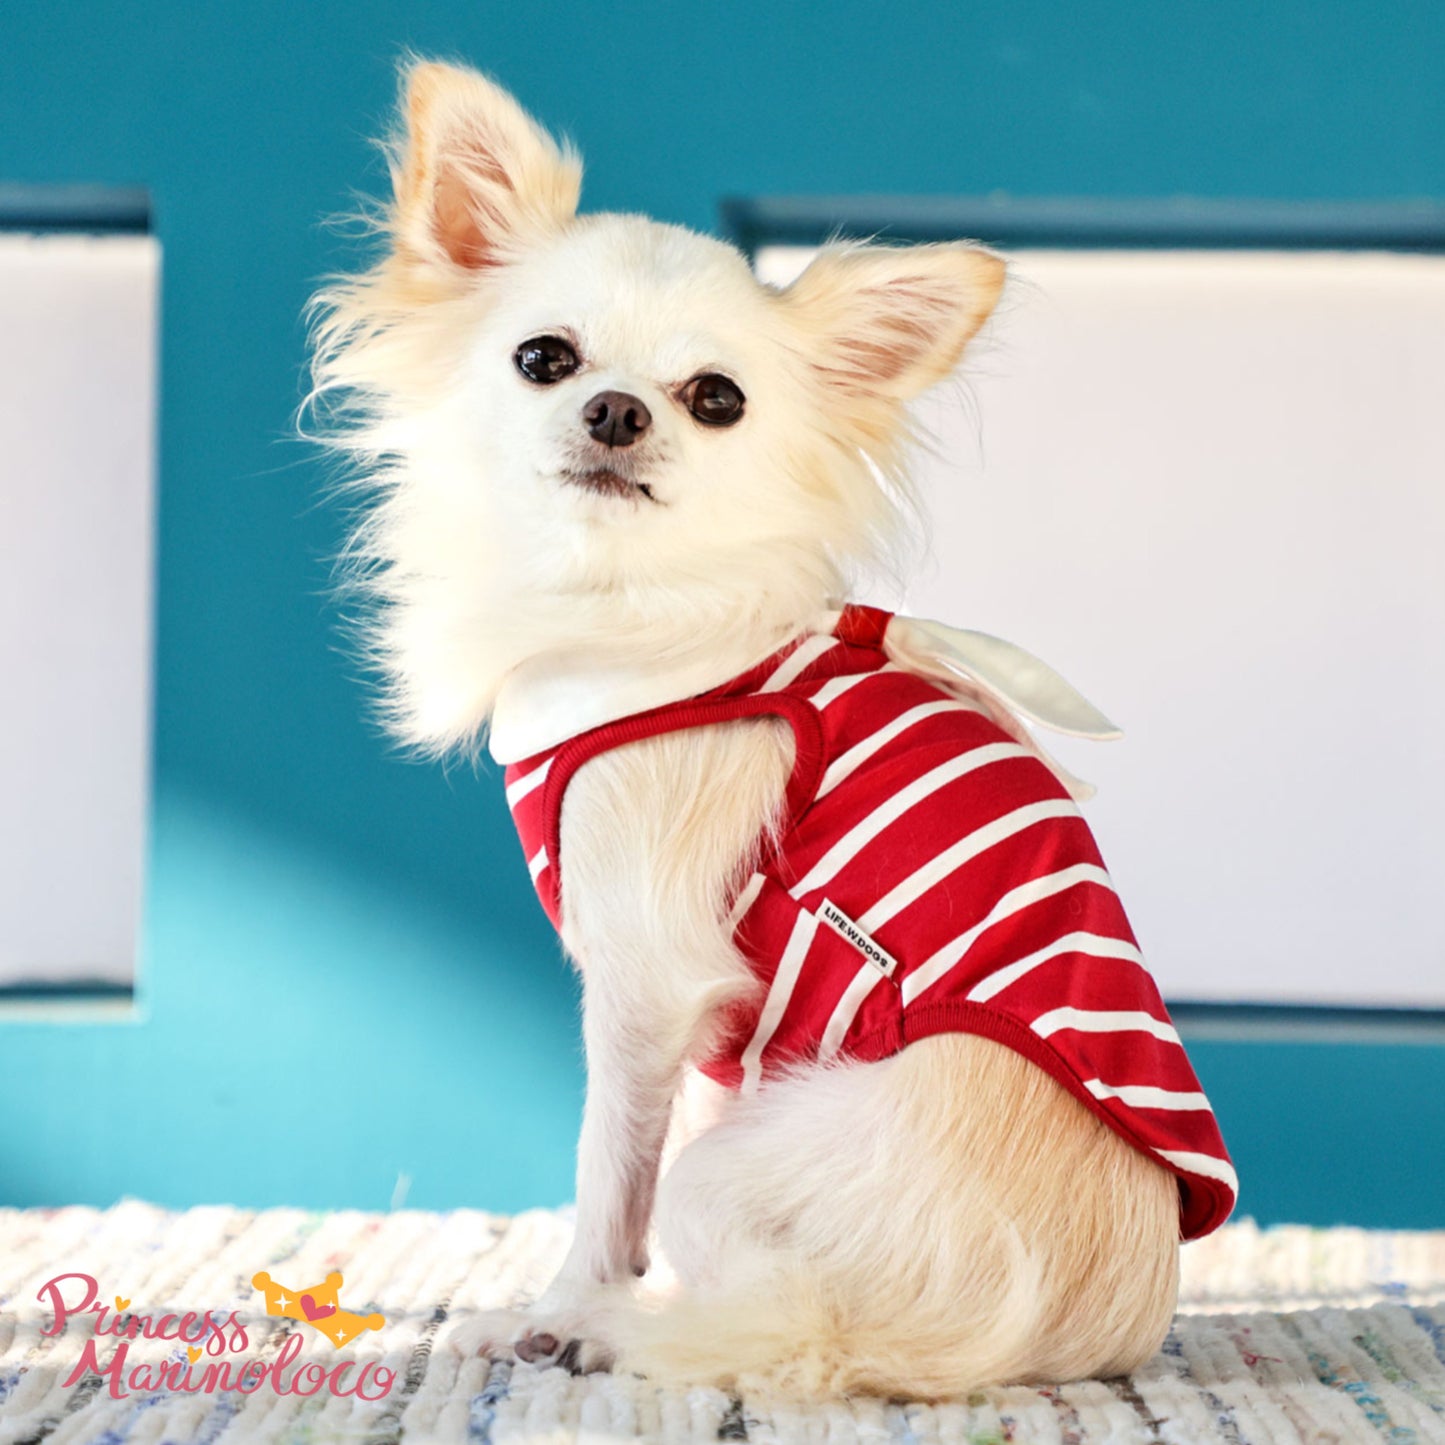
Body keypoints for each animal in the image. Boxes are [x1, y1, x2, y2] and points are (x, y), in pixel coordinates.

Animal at [310, 59, 1236, 1398]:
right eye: (542, 357)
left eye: (715, 400)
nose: (615, 411)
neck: (633, 604)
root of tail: (1075, 1336)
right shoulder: (720, 1028)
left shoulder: (644, 975)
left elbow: (608, 1171)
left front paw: (560, 1305)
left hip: (740, 1173)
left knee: (790, 1318)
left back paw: (613, 1332)